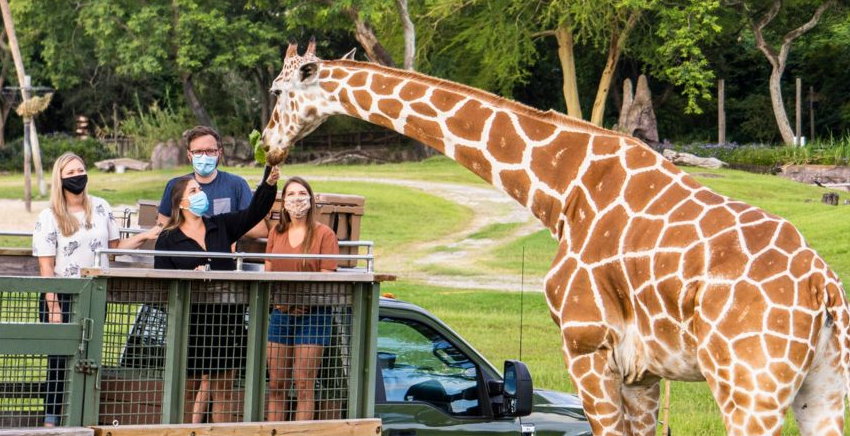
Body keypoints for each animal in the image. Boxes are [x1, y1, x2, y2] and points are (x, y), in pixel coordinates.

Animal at [260, 40, 848, 432]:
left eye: (278, 90)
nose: (267, 144)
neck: (563, 190)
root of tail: (824, 288)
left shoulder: (586, 346)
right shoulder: (642, 373)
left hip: (750, 385)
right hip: (822, 388)